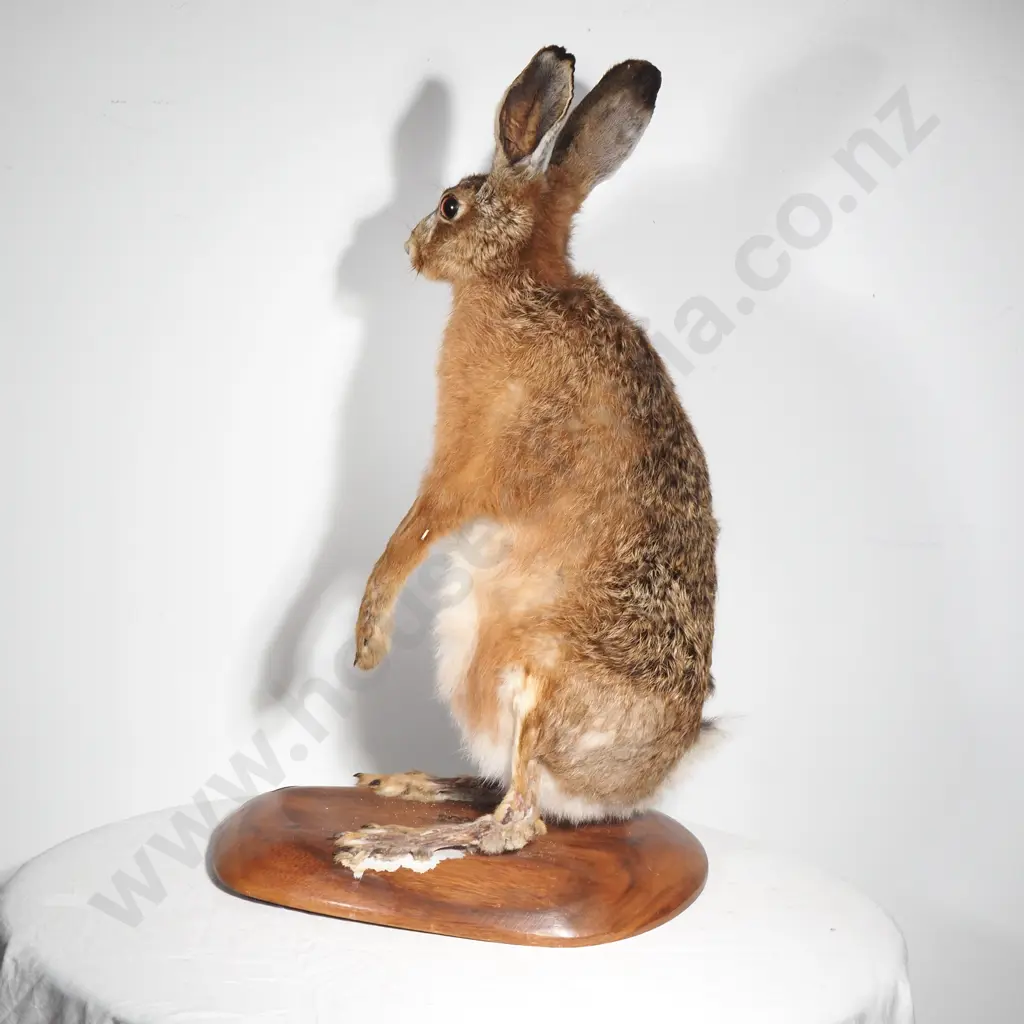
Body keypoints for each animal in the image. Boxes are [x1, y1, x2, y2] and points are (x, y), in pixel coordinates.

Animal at [334, 45, 718, 874]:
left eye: (451, 205)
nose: (409, 248)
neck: (517, 281)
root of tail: (634, 786)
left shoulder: (461, 471)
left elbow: (407, 539)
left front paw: (368, 643)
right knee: (501, 794)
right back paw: (402, 784)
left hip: (537, 680)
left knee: (516, 824)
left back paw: (377, 841)